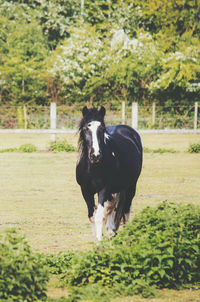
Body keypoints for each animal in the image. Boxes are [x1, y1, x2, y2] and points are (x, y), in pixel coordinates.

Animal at [75, 106, 142, 241]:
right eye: (85, 128)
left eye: (102, 129)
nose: (95, 155)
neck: (92, 168)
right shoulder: (85, 190)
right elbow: (92, 216)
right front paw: (96, 240)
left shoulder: (103, 189)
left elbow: (99, 216)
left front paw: (99, 243)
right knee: (112, 207)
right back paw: (111, 230)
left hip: (131, 186)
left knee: (126, 210)